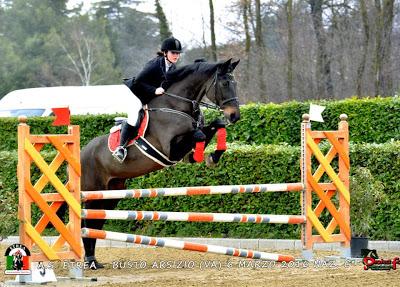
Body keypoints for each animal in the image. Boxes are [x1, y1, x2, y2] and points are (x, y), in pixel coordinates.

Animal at [79, 57, 239, 268]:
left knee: (96, 223)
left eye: (235, 83)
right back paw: (90, 261)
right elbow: (199, 134)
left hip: (111, 194)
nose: (235, 116)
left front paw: (213, 157)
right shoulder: (170, 150)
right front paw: (208, 153)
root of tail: (81, 152)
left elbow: (215, 125)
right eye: (225, 83)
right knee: (86, 223)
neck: (176, 105)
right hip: (92, 192)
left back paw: (93, 260)